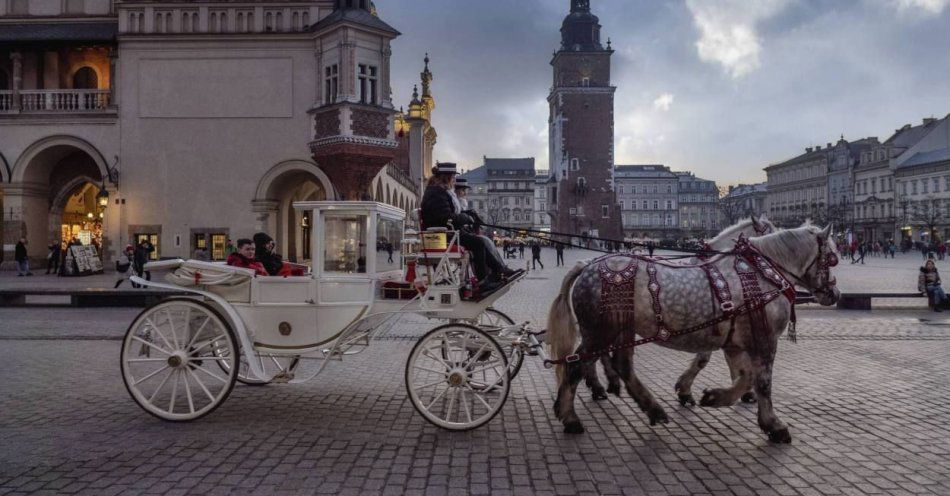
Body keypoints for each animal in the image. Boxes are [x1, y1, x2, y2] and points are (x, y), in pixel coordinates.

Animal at [552, 224, 840, 442]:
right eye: (832, 258)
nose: (834, 294)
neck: (761, 272)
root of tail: (586, 265)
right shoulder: (765, 340)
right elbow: (763, 381)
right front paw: (774, 425)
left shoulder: (734, 341)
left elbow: (744, 375)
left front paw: (714, 396)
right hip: (600, 332)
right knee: (576, 365)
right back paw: (571, 416)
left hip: (619, 329)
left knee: (619, 365)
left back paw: (650, 408)